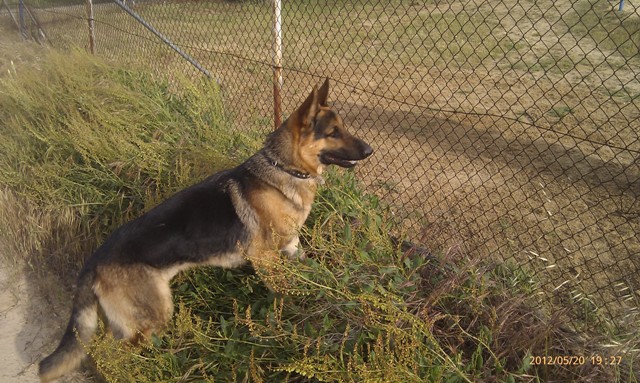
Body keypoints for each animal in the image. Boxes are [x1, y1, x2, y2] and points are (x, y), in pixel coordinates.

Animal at [37, 79, 372, 382]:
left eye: (343, 128)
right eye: (333, 132)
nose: (369, 150)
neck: (283, 169)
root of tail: (93, 262)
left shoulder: (291, 248)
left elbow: (313, 276)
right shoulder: (266, 261)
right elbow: (285, 296)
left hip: (131, 323)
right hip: (152, 318)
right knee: (109, 355)